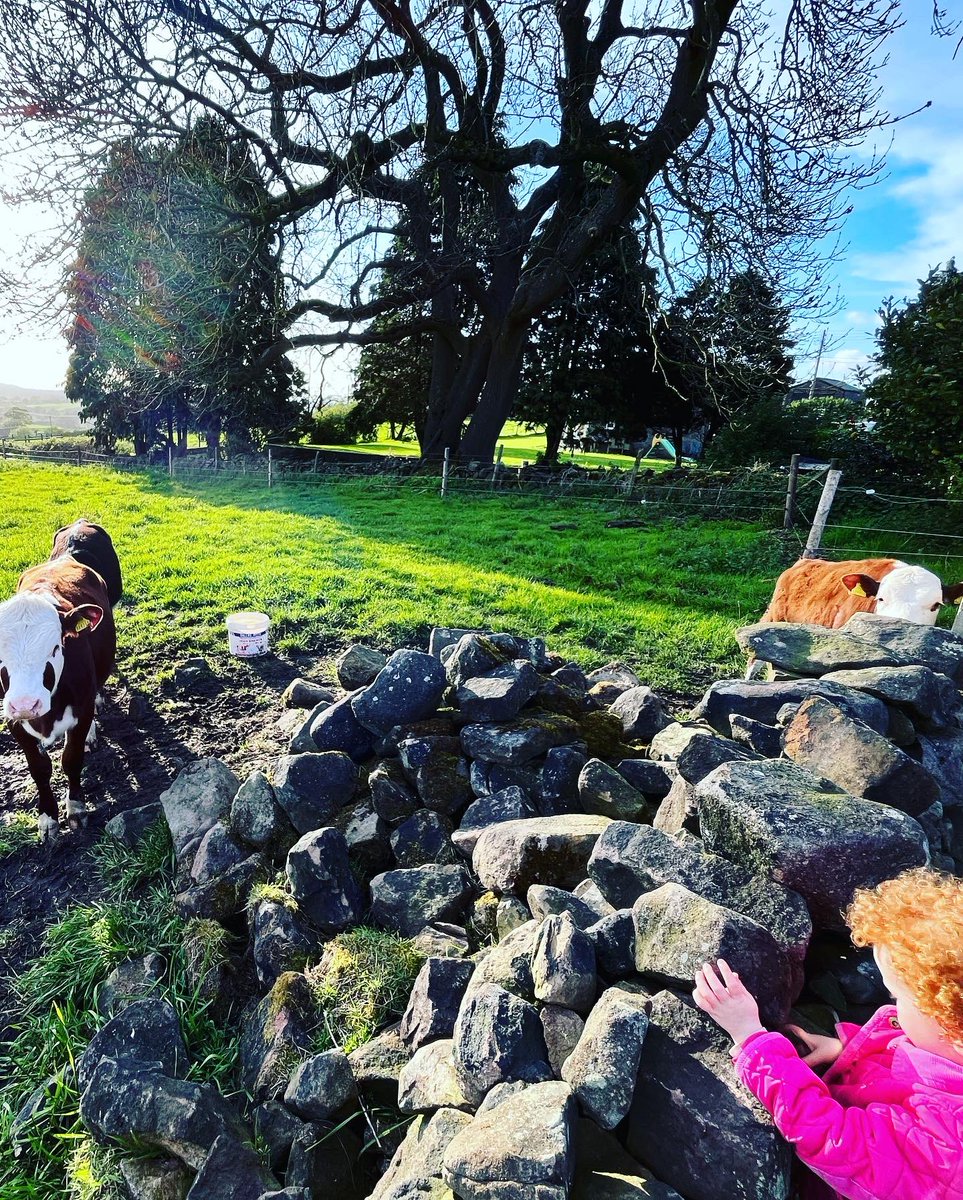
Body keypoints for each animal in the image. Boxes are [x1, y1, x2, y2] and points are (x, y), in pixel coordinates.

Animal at [0, 520, 123, 840]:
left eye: (55, 647)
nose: (25, 704)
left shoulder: (80, 710)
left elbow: (71, 758)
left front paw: (76, 809)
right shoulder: (12, 721)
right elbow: (39, 768)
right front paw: (47, 818)